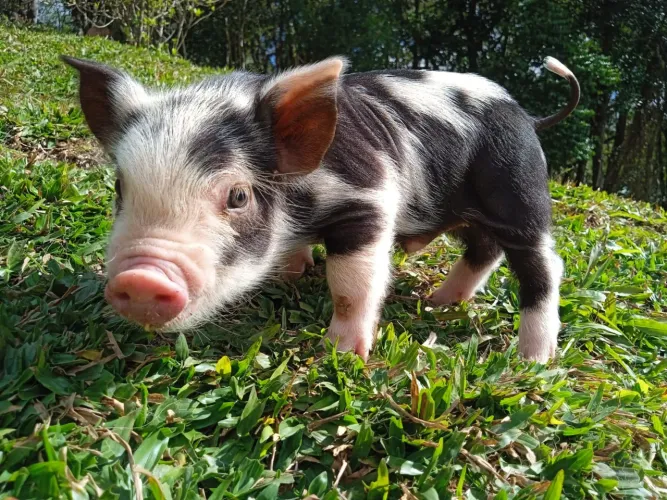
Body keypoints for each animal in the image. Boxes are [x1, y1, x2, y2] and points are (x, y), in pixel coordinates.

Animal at [62, 54, 579, 363]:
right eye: (120, 187)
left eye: (238, 196)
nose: (140, 278)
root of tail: (528, 116)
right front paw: (293, 272)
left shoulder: (368, 199)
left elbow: (353, 283)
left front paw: (343, 353)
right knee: (484, 249)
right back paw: (438, 303)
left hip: (519, 191)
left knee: (543, 265)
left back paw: (532, 360)